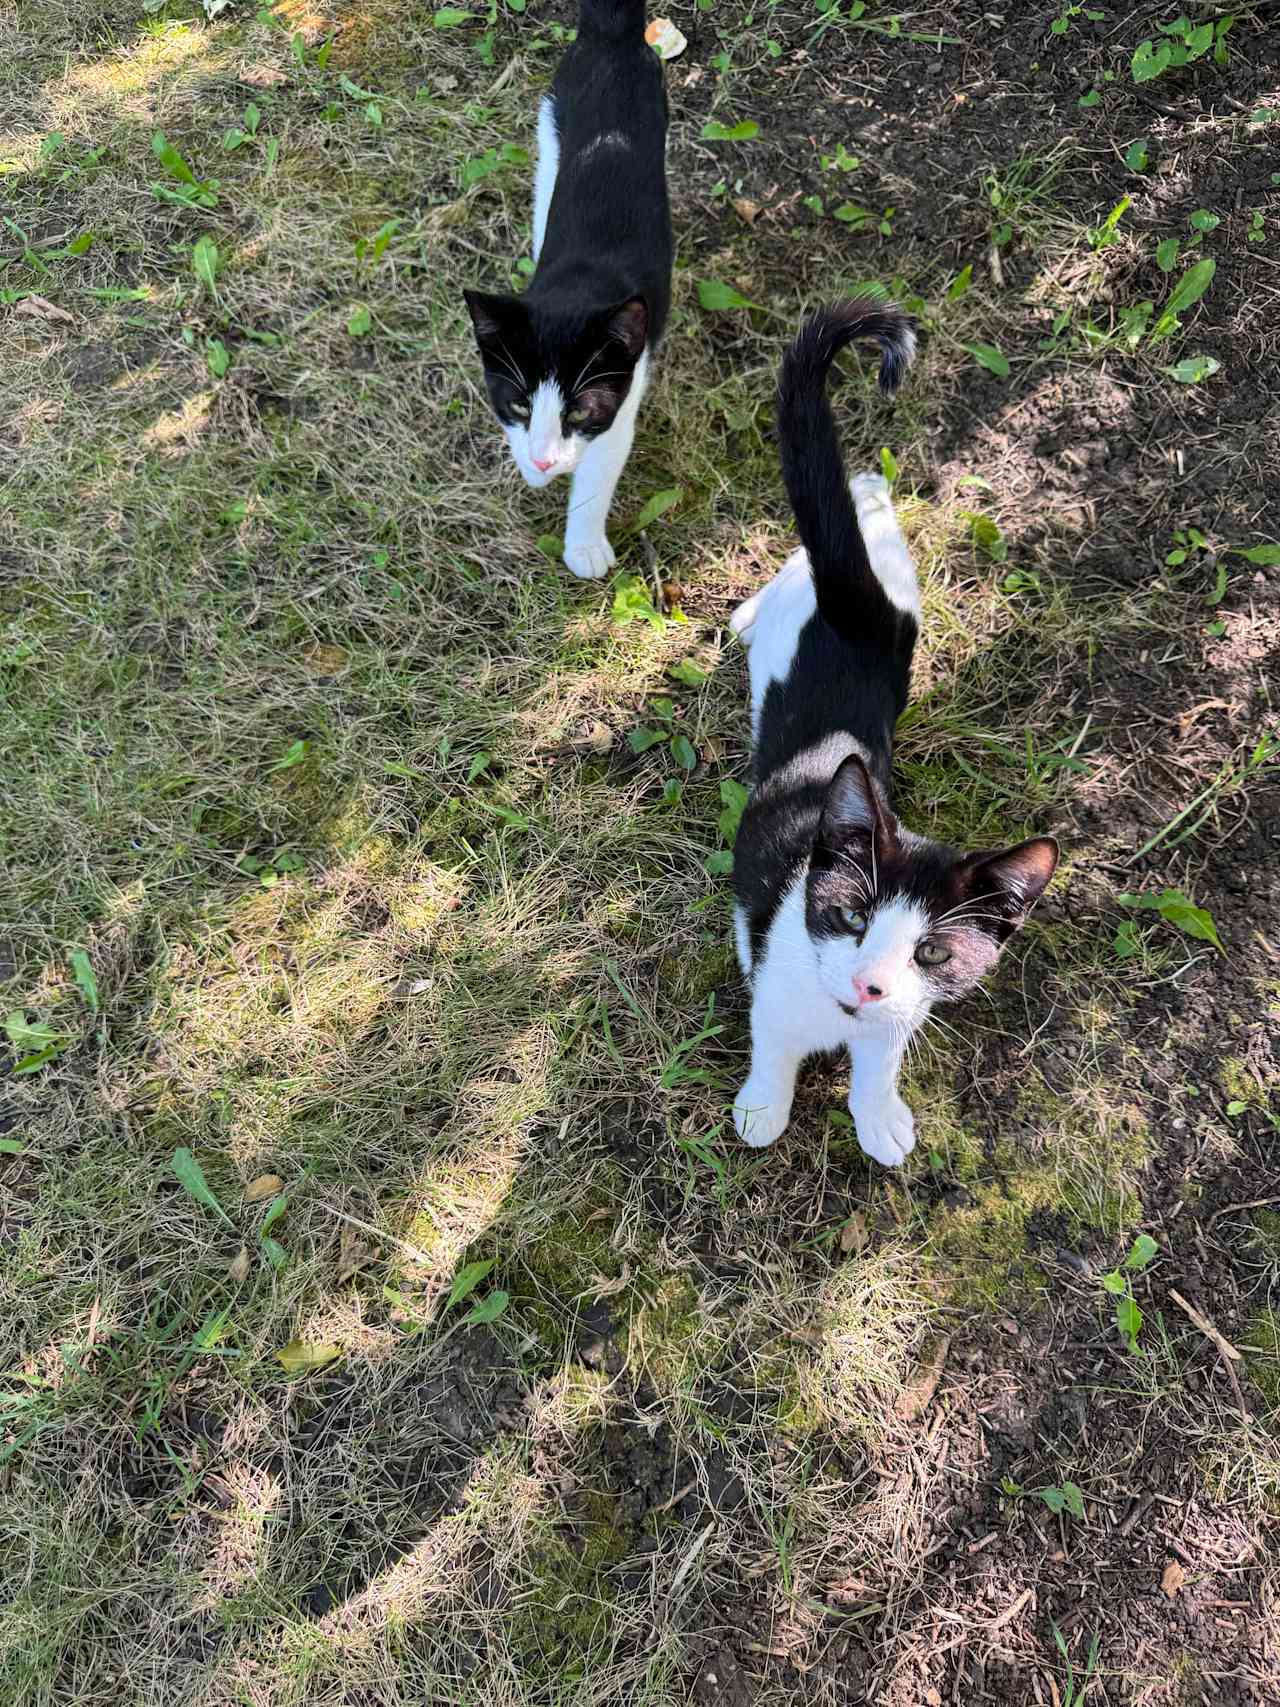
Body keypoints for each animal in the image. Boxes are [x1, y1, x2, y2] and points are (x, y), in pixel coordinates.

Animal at [467, 0, 675, 580]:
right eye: (518, 405)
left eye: (580, 411)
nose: (543, 459)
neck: (577, 288)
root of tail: (611, 35)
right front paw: (532, 465)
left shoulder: (626, 386)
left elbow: (601, 464)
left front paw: (583, 544)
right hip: (550, 128)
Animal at [730, 300, 1064, 1167]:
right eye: (851, 916)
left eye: (931, 953)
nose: (866, 984)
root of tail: (855, 606)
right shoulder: (773, 981)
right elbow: (770, 1041)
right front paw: (763, 1106)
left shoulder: (902, 1014)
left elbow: (882, 1055)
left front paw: (878, 1112)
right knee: (792, 569)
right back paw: (748, 609)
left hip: (904, 605)